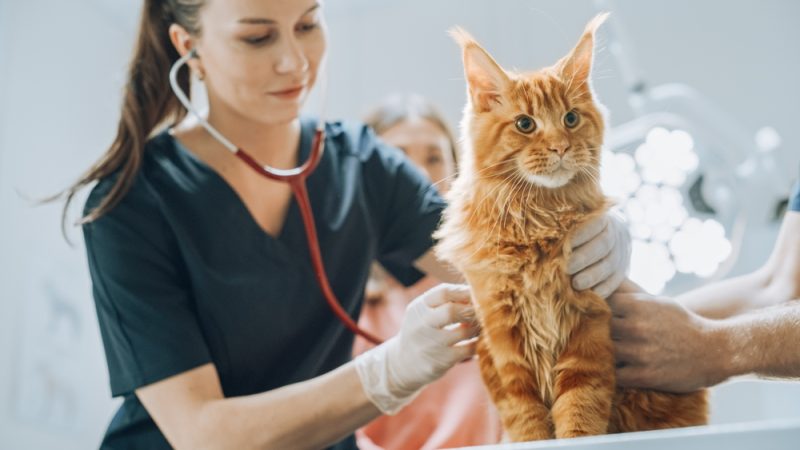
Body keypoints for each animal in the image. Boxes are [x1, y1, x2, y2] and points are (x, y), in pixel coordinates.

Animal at [438, 13, 708, 440]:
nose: (561, 147)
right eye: (525, 124)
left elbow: (580, 409)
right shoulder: (503, 341)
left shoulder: (586, 328)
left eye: (570, 118)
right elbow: (527, 417)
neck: (537, 222)